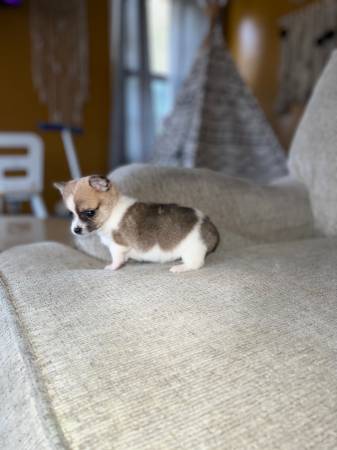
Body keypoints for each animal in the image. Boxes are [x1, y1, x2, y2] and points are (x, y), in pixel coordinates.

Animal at [54, 174, 219, 272]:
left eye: (90, 213)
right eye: (71, 213)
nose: (76, 230)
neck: (112, 210)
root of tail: (210, 228)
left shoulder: (117, 246)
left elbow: (116, 259)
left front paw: (112, 267)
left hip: (191, 250)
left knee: (196, 264)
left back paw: (180, 267)